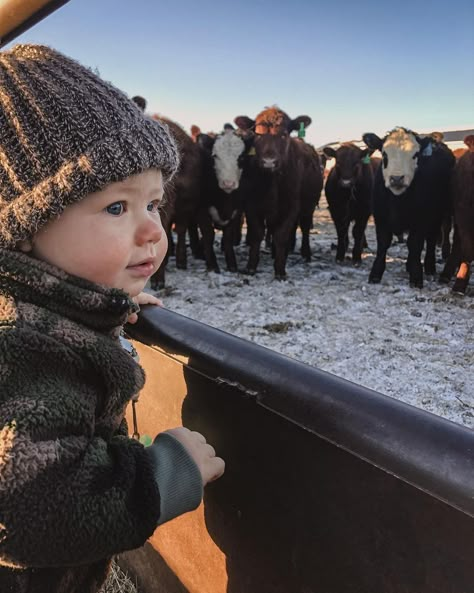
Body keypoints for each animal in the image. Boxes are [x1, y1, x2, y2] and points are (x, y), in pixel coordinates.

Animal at [235, 107, 324, 280]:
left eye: (284, 134)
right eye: (258, 134)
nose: (269, 161)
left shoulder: (291, 207)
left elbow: (281, 235)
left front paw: (280, 270)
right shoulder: (252, 206)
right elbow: (257, 233)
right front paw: (251, 267)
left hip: (308, 207)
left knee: (304, 228)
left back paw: (305, 253)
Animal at [362, 127, 456, 290]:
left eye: (415, 155)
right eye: (384, 154)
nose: (397, 178)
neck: (397, 201)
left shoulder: (420, 220)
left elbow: (415, 244)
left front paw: (416, 276)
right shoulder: (381, 218)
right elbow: (383, 244)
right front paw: (375, 274)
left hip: (437, 215)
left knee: (431, 240)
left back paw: (429, 267)